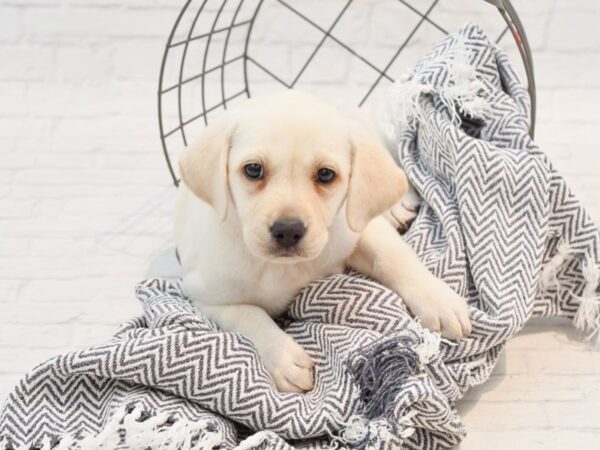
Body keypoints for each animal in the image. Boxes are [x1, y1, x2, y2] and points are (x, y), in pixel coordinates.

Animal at [176, 89, 472, 392]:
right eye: (253, 170)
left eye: (326, 174)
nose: (288, 230)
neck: (285, 268)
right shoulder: (204, 296)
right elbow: (249, 315)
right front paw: (285, 359)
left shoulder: (355, 227)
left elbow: (393, 257)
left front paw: (439, 301)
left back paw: (395, 206)